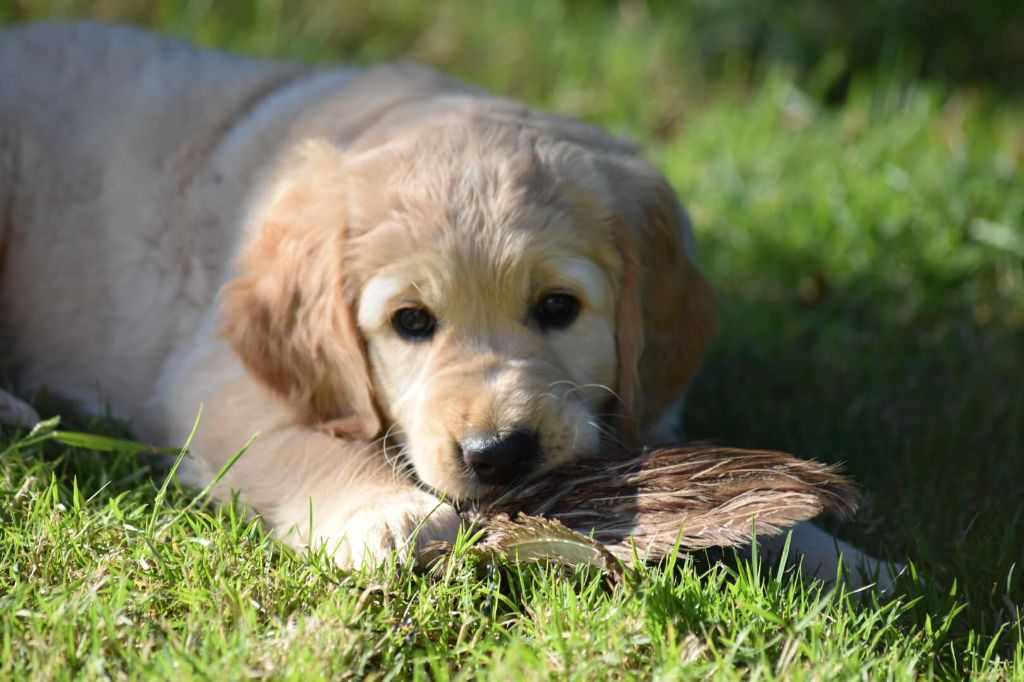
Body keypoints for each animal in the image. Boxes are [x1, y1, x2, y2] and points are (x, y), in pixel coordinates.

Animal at [0, 21, 897, 585]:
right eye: (411, 323)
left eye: (558, 308)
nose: (500, 455)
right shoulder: (212, 376)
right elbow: (294, 442)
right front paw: (386, 512)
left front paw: (838, 558)